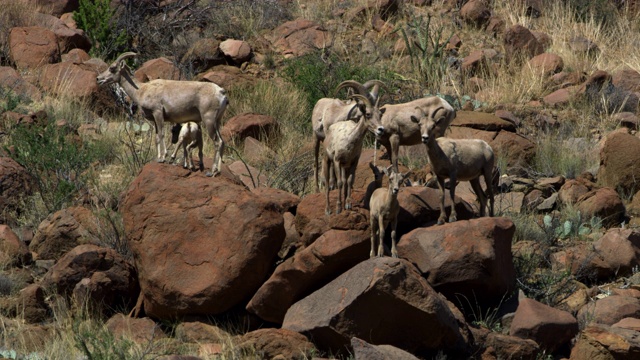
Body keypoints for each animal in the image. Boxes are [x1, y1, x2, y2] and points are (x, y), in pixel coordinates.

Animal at [97, 51, 230, 177]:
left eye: (112, 68)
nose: (98, 79)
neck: (142, 90)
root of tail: (221, 92)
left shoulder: (158, 113)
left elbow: (161, 134)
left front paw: (163, 158)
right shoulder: (155, 120)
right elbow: (156, 137)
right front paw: (159, 157)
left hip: (209, 120)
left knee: (217, 142)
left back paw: (212, 172)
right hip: (217, 122)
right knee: (222, 142)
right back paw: (217, 171)